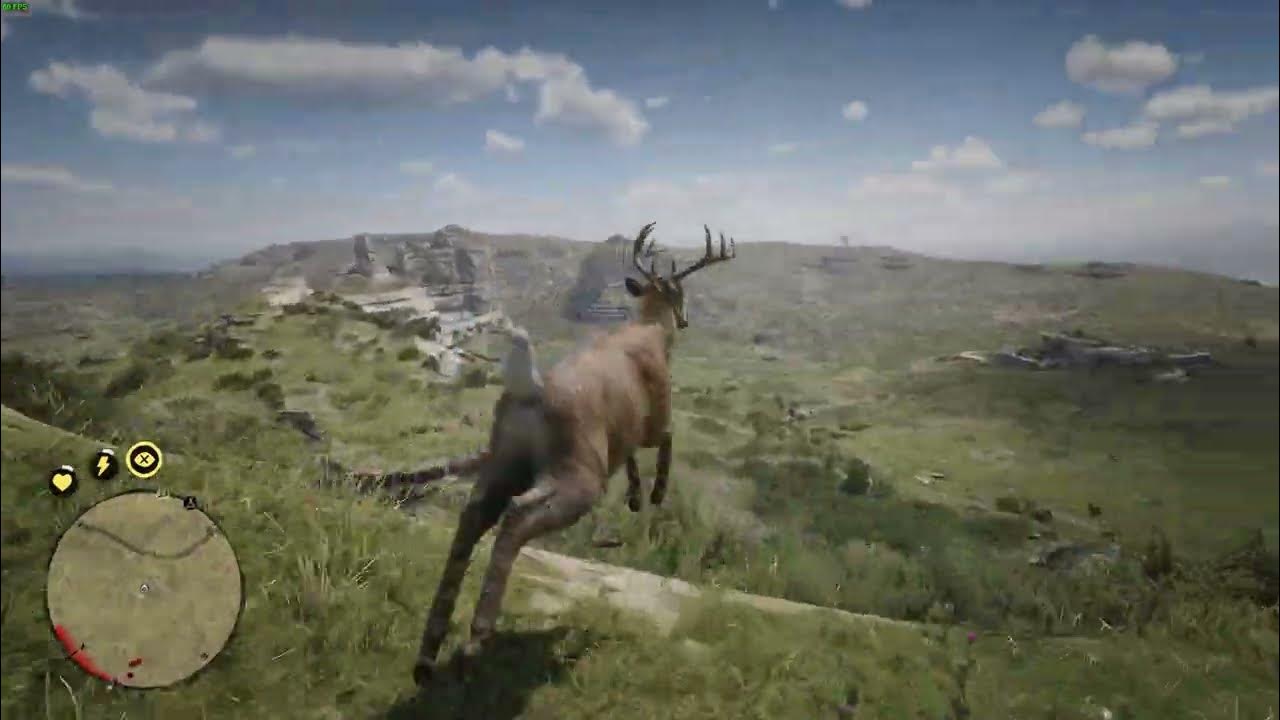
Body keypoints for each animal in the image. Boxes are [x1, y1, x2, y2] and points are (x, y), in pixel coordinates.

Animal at [412, 222, 737, 686]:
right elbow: (667, 442)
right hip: (577, 473)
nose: (686, 319)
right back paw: (474, 642)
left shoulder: (623, 433)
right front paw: (655, 494)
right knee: (515, 516)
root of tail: (530, 389)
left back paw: (428, 654)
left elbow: (630, 456)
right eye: (679, 292)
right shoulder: (658, 415)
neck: (651, 332)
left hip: (503, 460)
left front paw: (635, 495)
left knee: (472, 515)